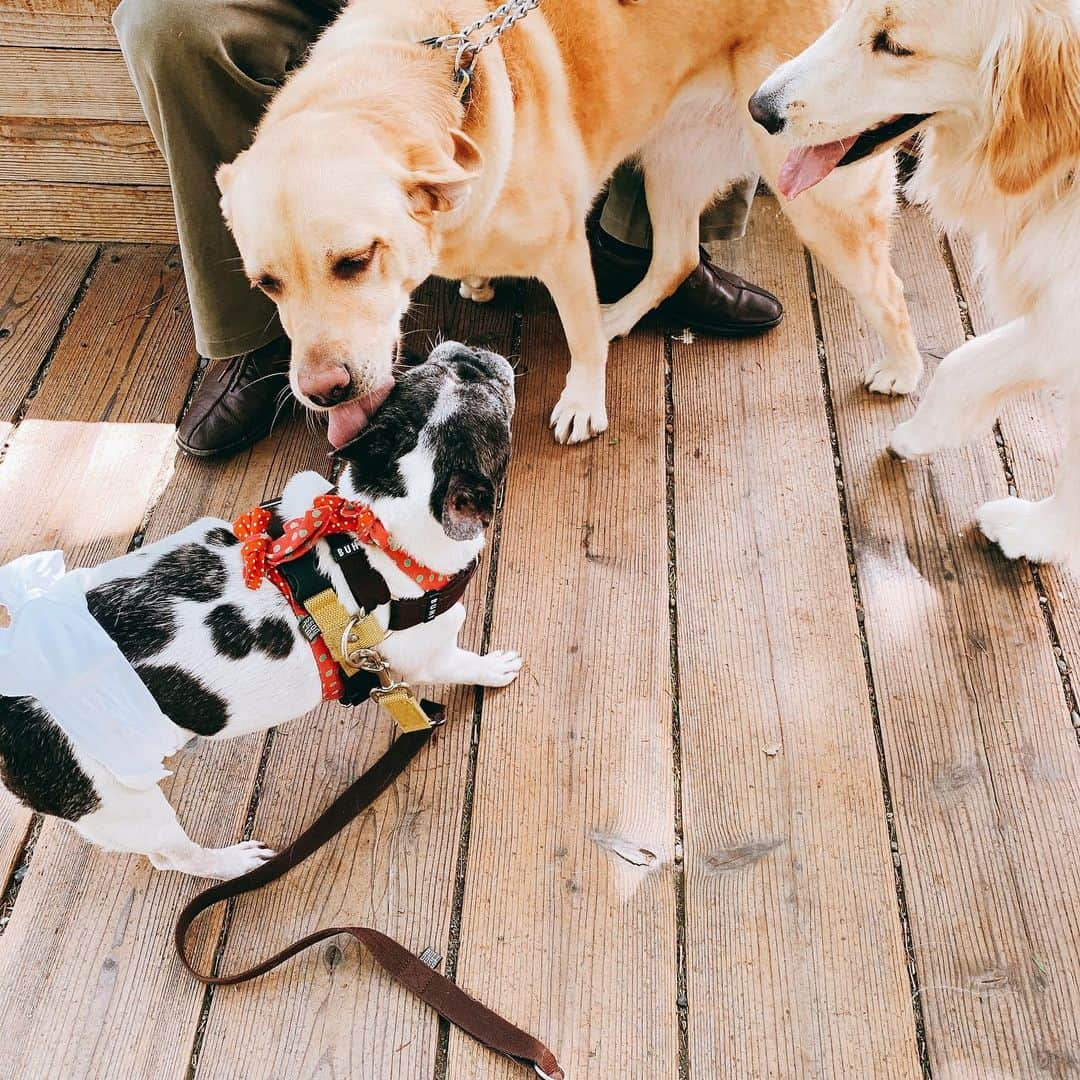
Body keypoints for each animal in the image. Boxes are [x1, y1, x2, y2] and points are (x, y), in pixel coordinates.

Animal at [217, 0, 920, 447]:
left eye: (356, 261)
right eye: (267, 285)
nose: (322, 392)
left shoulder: (562, 249)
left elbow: (578, 340)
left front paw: (583, 404)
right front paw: (479, 282)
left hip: (819, 190)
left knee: (889, 290)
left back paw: (902, 372)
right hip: (671, 158)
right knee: (676, 259)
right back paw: (620, 316)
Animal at [751, 0, 1080, 570]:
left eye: (895, 45)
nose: (758, 109)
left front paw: (1035, 533)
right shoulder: (1058, 316)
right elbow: (963, 363)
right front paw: (922, 434)